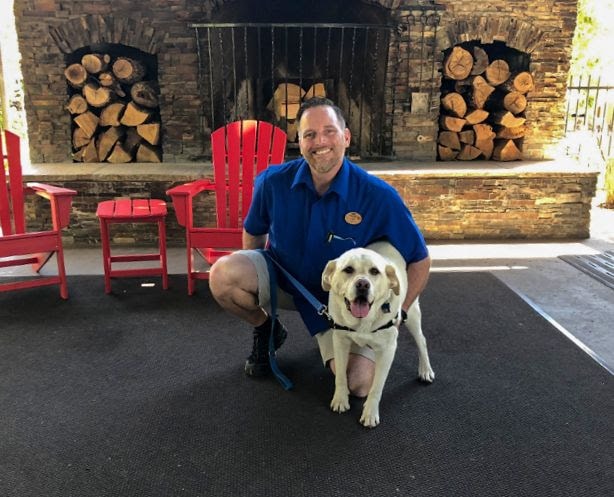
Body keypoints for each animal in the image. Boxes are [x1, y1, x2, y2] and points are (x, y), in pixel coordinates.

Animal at [322, 240, 434, 426]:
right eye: (348, 269)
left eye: (375, 271)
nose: (362, 284)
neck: (361, 323)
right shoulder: (340, 340)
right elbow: (341, 376)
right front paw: (340, 399)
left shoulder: (387, 351)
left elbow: (377, 386)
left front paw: (370, 413)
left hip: (412, 314)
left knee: (422, 341)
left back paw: (425, 370)